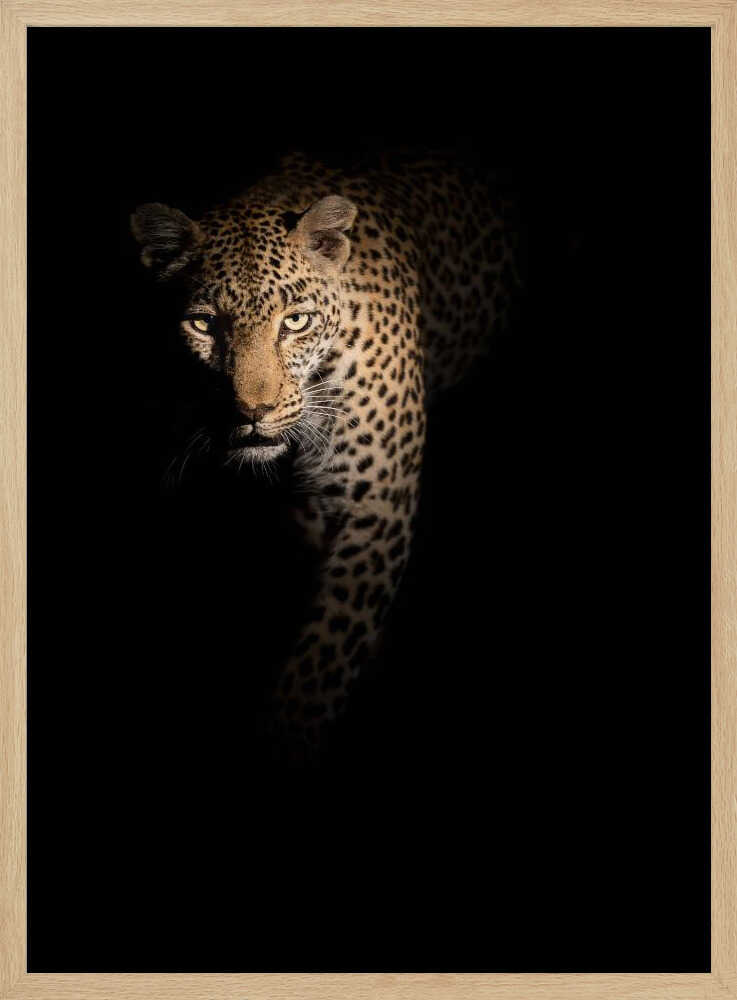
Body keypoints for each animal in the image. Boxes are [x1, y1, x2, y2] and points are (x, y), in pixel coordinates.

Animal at [131, 151, 521, 761]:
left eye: (295, 321)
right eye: (203, 324)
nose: (253, 411)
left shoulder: (377, 509)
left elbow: (320, 664)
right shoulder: (309, 513)